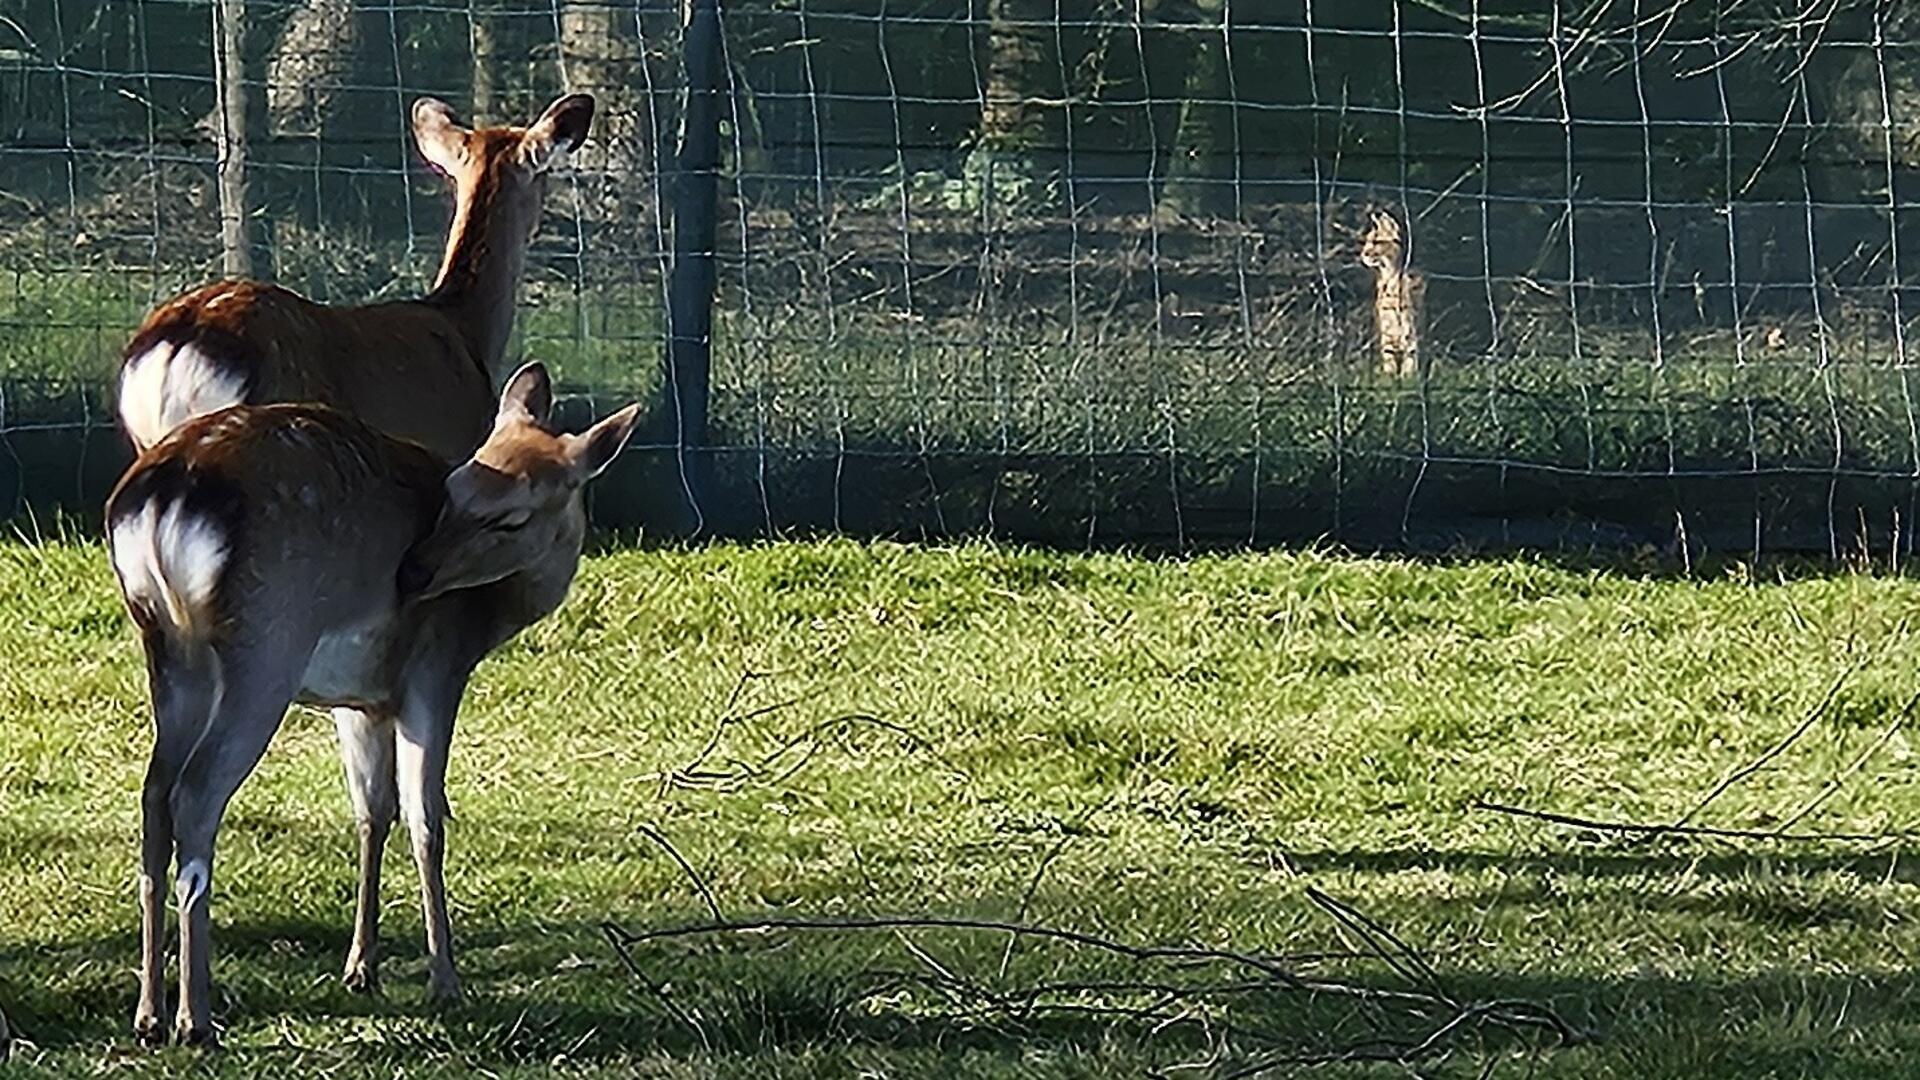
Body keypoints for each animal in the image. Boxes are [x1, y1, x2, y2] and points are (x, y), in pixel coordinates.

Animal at [108, 361, 641, 1045]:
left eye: (508, 518)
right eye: (455, 492)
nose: (411, 574)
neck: (490, 614)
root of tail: (159, 496)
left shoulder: (361, 699)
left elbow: (371, 810)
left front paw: (361, 966)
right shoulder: (433, 671)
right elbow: (426, 818)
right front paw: (444, 979)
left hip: (168, 647)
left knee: (154, 792)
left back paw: (149, 1012)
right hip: (267, 646)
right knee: (196, 793)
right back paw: (194, 1016)